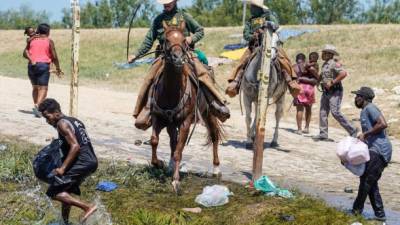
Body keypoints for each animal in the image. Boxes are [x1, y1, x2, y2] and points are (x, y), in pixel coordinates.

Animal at [151, 21, 225, 192]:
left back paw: (216, 168)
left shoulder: (185, 122)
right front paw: (159, 163)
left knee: (214, 135)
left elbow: (179, 151)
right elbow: (155, 141)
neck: (171, 91)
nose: (177, 58)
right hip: (172, 124)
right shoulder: (159, 118)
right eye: (166, 40)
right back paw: (170, 165)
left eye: (184, 40)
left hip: (208, 113)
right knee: (173, 141)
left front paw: (176, 181)